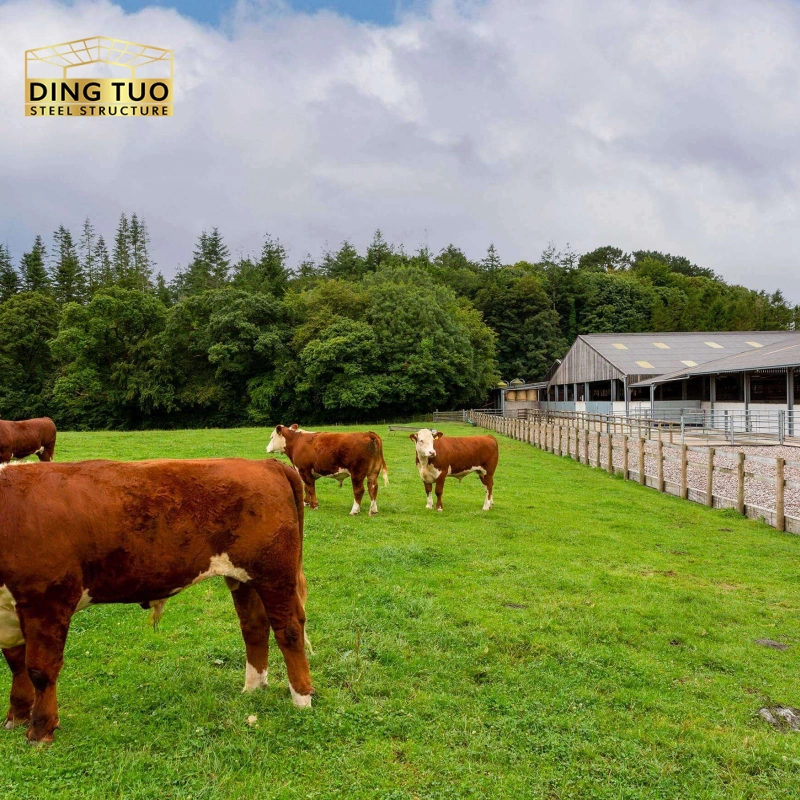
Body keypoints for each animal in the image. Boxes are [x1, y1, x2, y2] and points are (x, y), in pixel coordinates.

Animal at [0, 457, 312, 745]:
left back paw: (302, 698)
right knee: (254, 627)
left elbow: (40, 669)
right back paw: (253, 687)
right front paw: (16, 716)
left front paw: (40, 730)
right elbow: (16, 664)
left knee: (289, 629)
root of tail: (265, 463)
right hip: (244, 578)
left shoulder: (47, 601)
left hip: (275, 574)